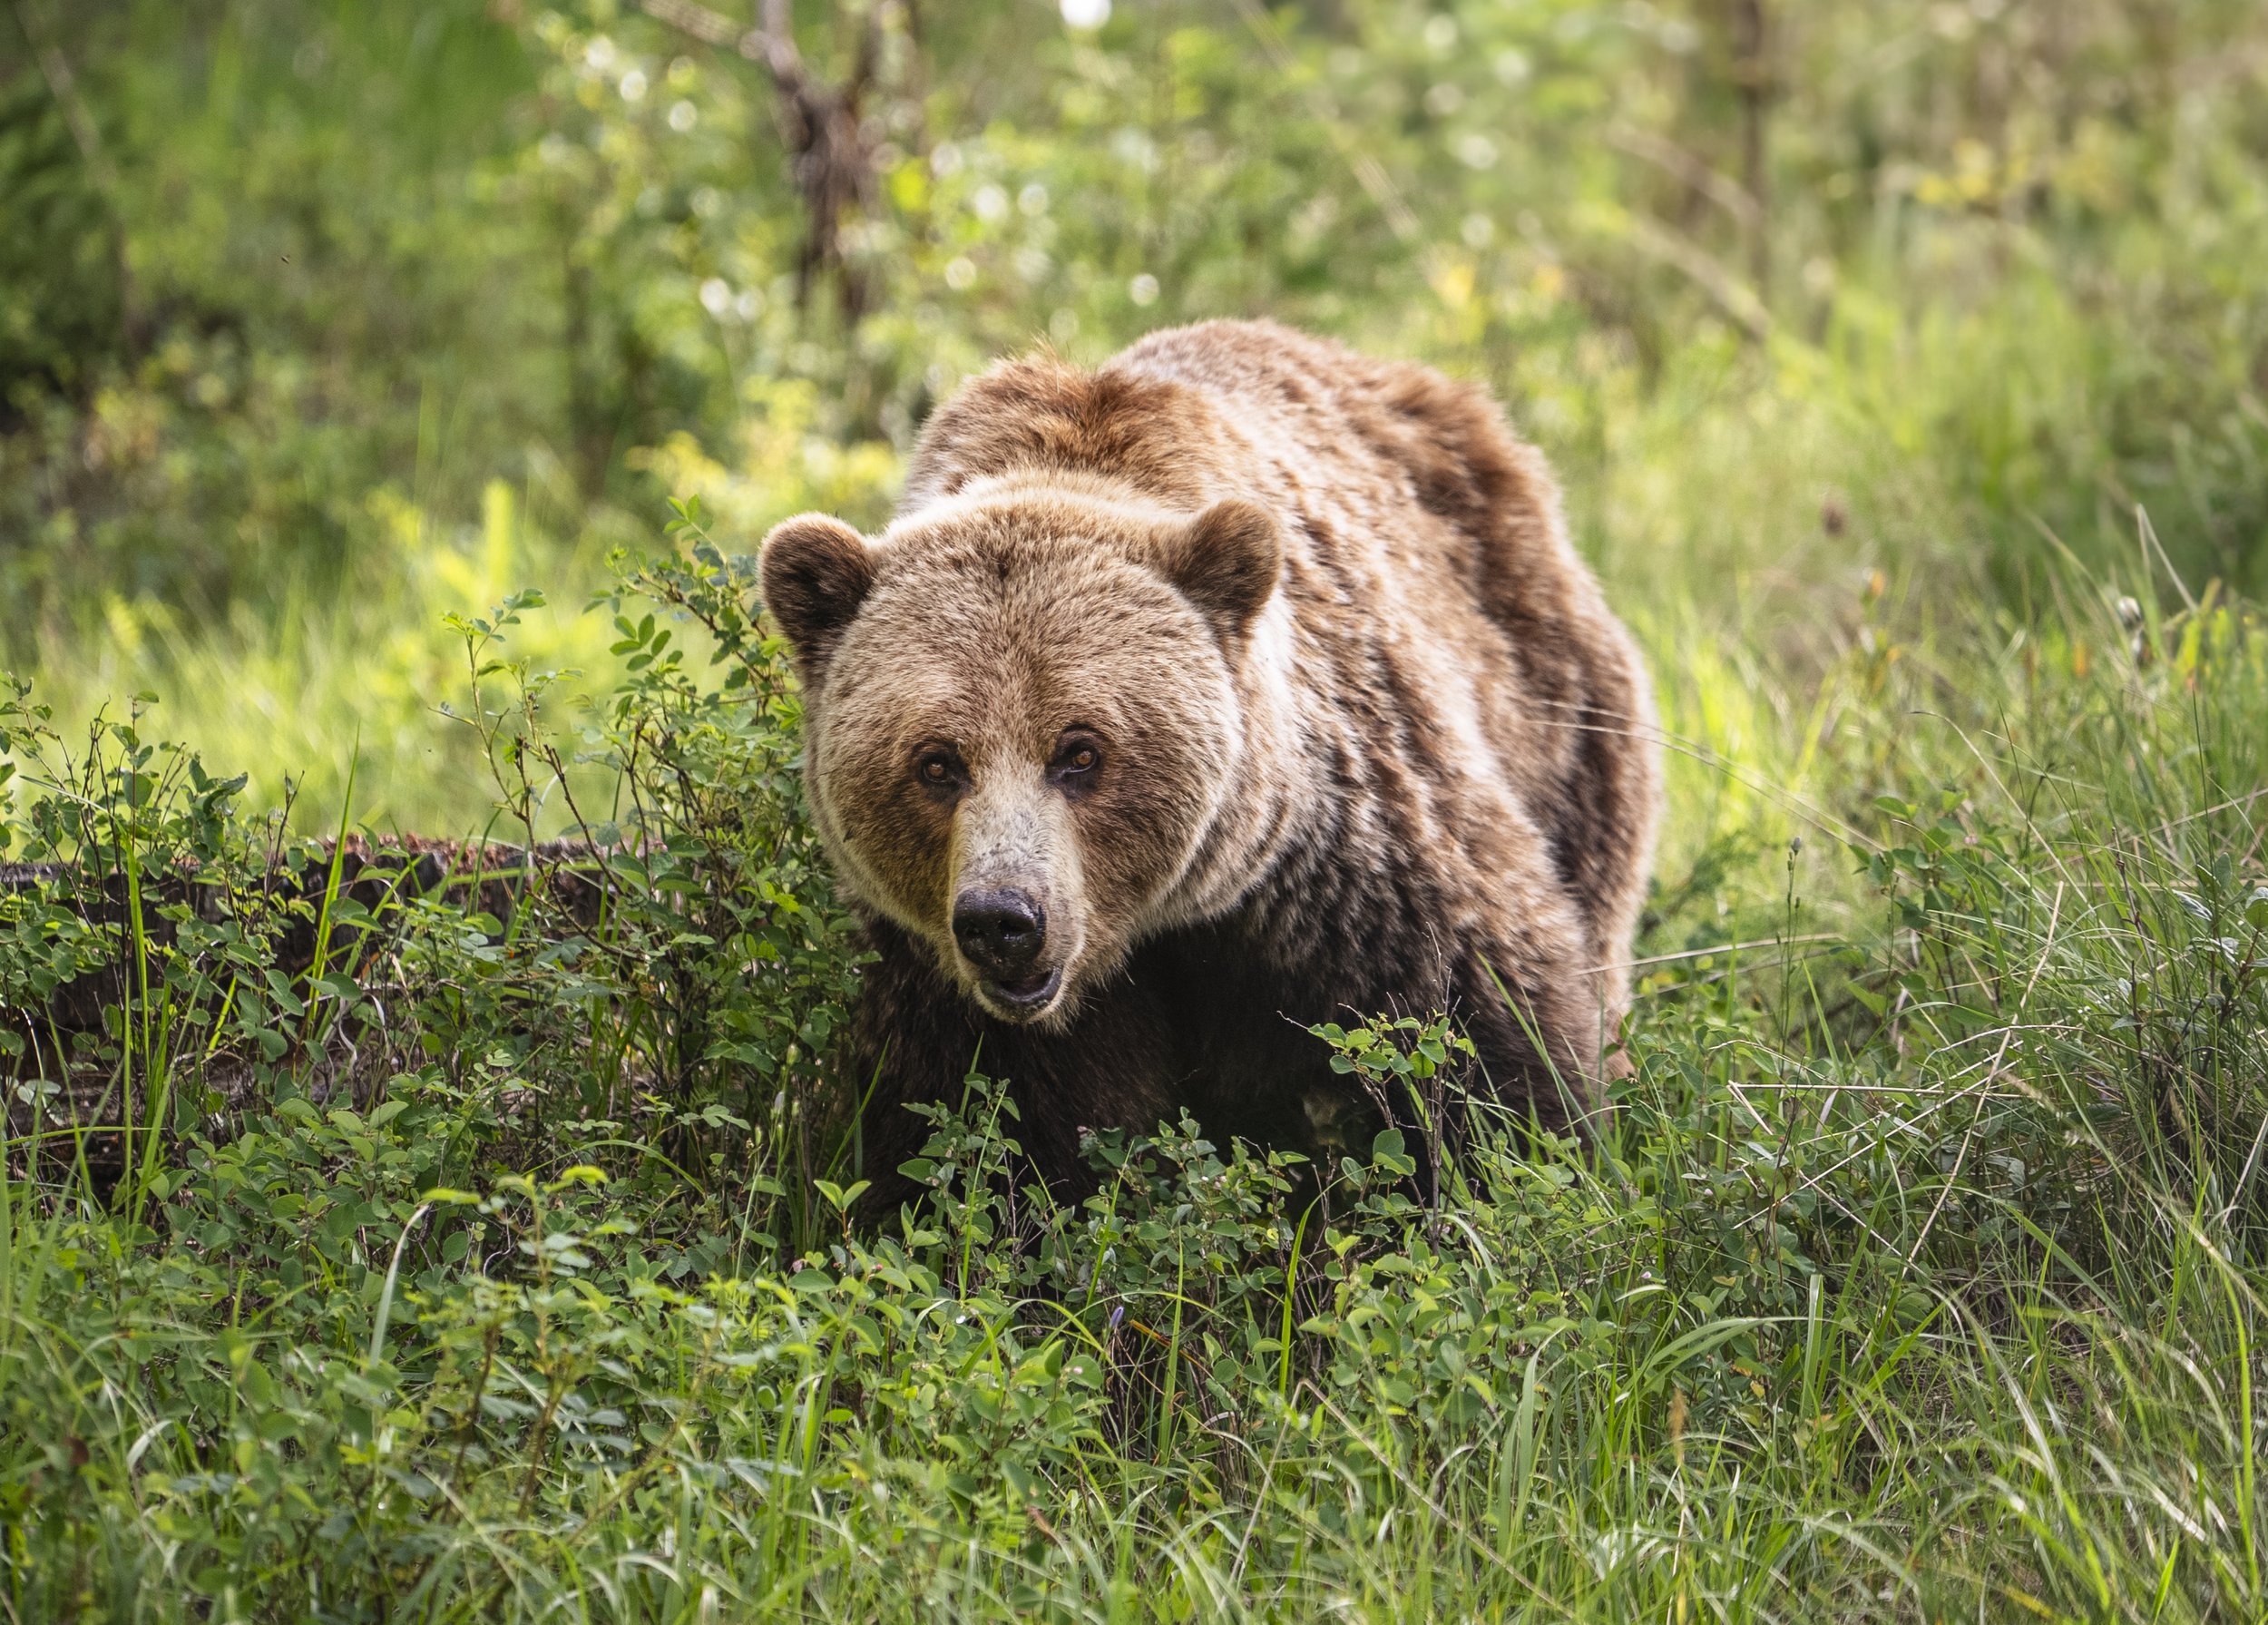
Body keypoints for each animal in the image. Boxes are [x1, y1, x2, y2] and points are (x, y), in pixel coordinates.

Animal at [758, 320, 1660, 1212]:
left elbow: (1478, 1044)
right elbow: (986, 1143)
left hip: (1565, 720)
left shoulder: (1349, 861)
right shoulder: (942, 982)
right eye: (938, 761)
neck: (1151, 930)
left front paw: (1516, 1168)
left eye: (1080, 751)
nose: (1004, 920)